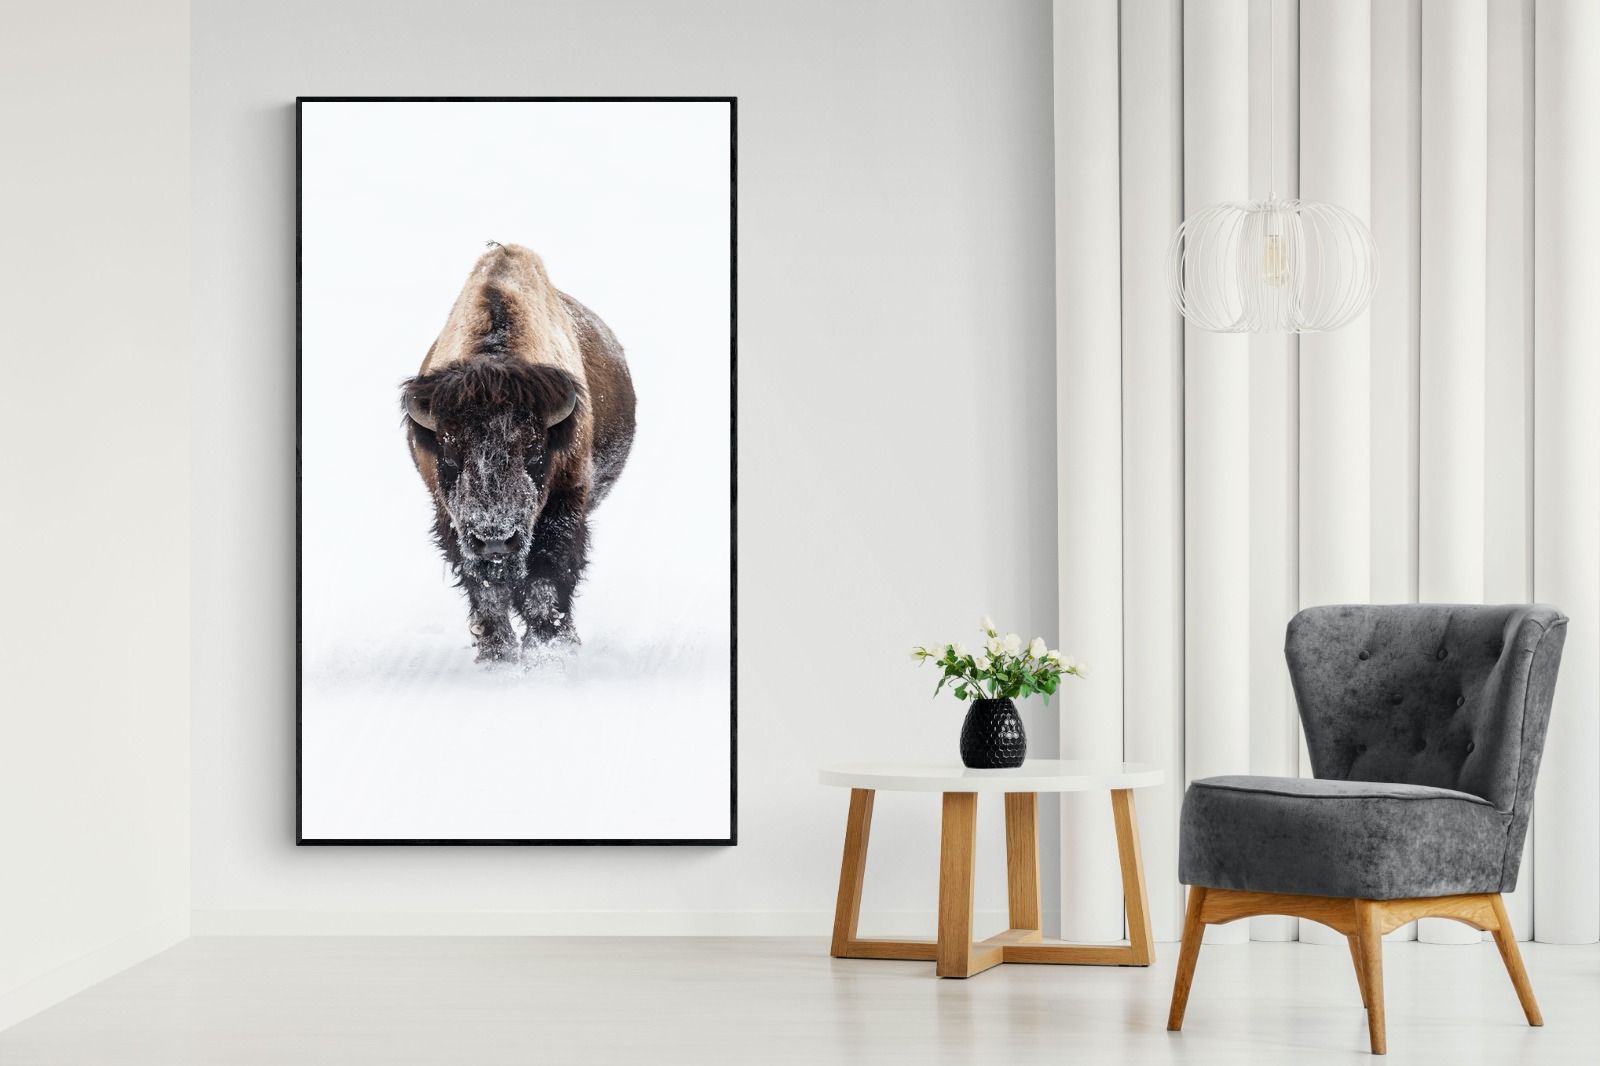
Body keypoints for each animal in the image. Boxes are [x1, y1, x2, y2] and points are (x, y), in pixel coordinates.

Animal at [402, 243, 636, 663]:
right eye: (449, 455)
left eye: (535, 453)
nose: (495, 539)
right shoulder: (451, 519)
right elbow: (485, 588)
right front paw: (496, 652)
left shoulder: (564, 503)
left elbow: (546, 578)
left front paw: (548, 648)